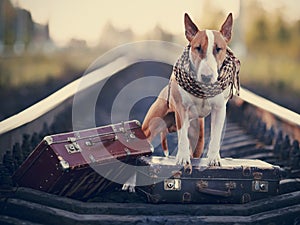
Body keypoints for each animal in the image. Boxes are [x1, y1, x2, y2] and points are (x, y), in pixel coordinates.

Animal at [142, 12, 236, 168]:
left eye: (218, 49)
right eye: (198, 48)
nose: (206, 77)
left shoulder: (219, 109)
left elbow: (216, 136)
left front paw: (214, 158)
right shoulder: (181, 110)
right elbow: (182, 138)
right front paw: (182, 158)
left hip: (198, 138)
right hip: (151, 125)